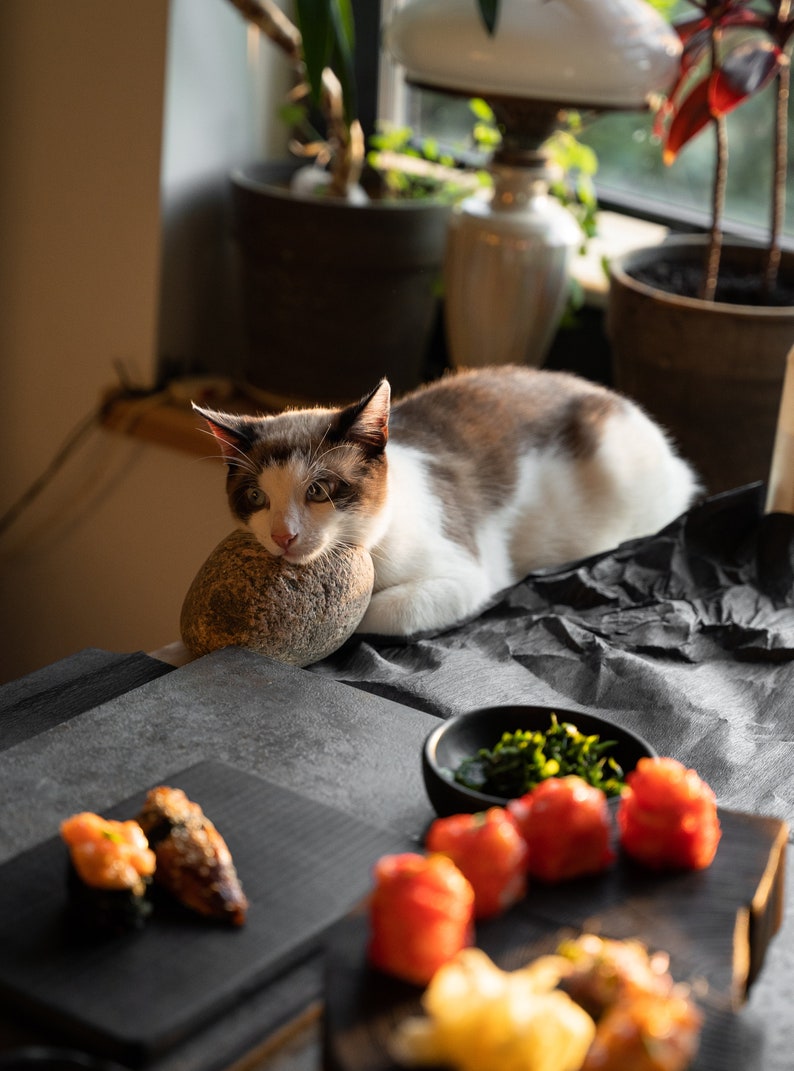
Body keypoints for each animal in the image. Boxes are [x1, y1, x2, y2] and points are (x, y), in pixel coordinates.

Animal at [197, 366, 698, 634]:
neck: (375, 540)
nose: (283, 535)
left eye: (318, 490)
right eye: (256, 496)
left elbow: (387, 611)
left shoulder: (468, 574)